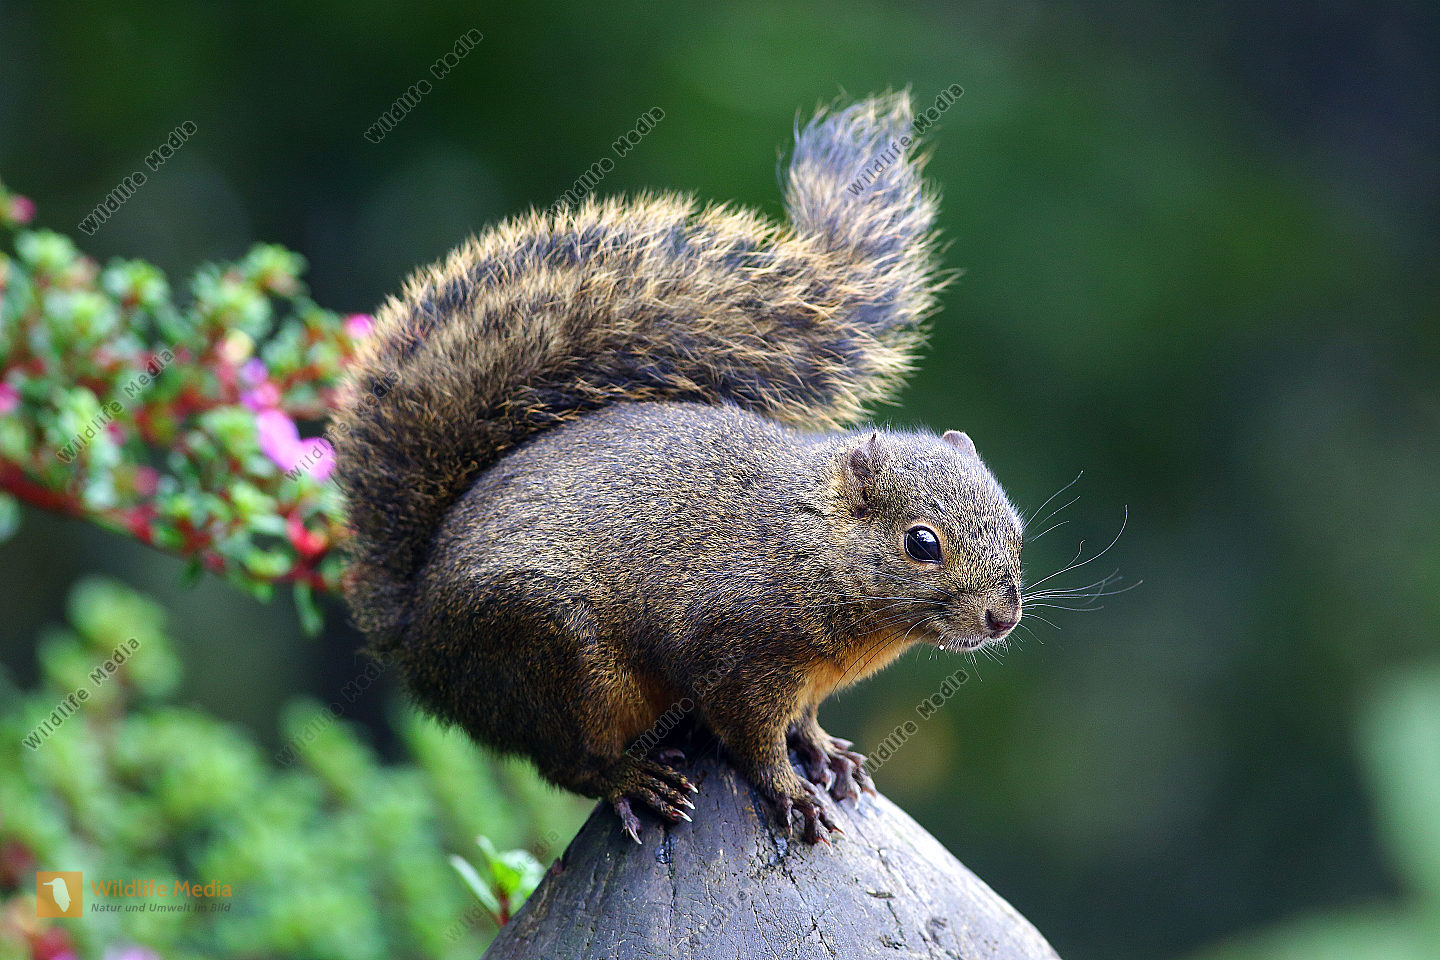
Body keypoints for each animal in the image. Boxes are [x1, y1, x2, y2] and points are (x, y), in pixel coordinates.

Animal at [330, 93, 1024, 845]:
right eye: (921, 543)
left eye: (1015, 528)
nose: (1003, 618)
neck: (811, 543)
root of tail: (415, 622)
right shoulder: (739, 656)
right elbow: (754, 739)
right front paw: (792, 792)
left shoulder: (804, 681)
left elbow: (803, 721)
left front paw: (826, 752)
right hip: (557, 663)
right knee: (568, 761)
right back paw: (631, 780)